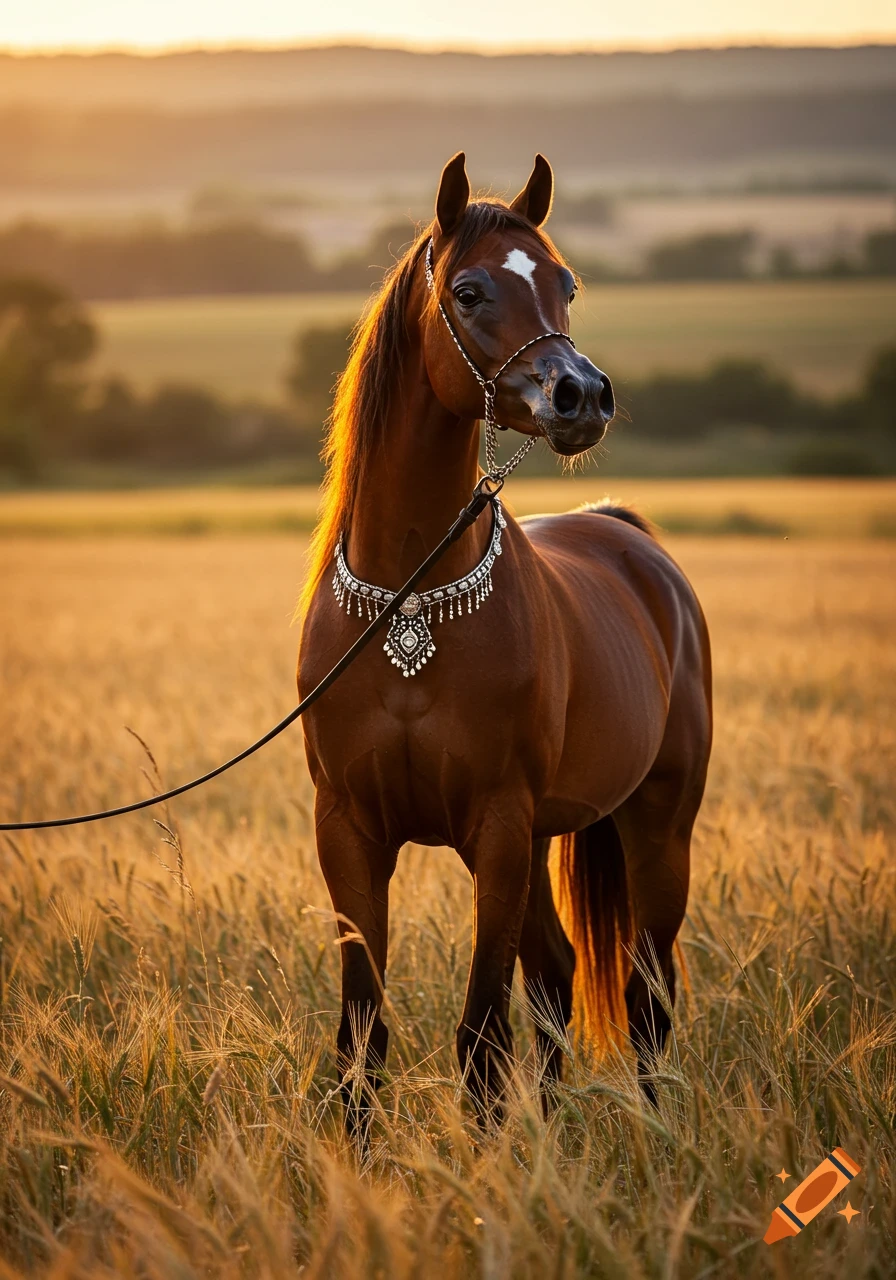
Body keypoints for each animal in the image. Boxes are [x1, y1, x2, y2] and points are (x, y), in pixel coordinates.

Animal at [297, 152, 712, 1132]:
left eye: (566, 284)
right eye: (471, 290)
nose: (581, 395)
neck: (410, 601)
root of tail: (628, 536)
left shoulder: (497, 825)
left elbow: (482, 1036)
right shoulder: (349, 832)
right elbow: (362, 1038)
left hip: (657, 827)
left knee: (645, 997)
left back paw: (656, 1135)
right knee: (560, 978)